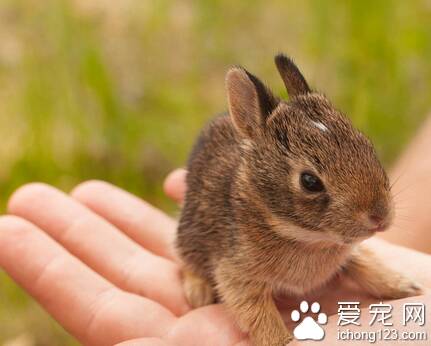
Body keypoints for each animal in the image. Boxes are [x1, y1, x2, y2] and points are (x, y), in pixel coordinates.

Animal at [175, 54, 422, 346]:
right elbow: (258, 314)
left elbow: (366, 265)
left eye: (366, 145)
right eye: (309, 181)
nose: (380, 216)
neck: (304, 236)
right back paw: (198, 294)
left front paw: (405, 287)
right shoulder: (236, 273)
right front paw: (281, 341)